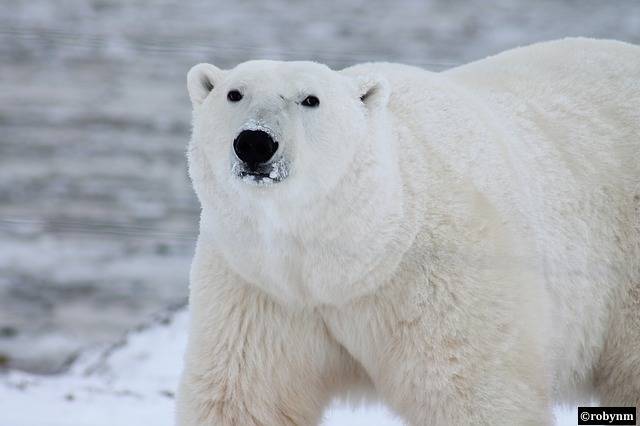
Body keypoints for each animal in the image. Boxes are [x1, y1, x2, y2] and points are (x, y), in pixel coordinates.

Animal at [176, 38, 640, 424]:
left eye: (310, 99)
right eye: (234, 93)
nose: (255, 142)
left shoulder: (443, 279)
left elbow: (473, 392)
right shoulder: (260, 288)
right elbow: (246, 396)